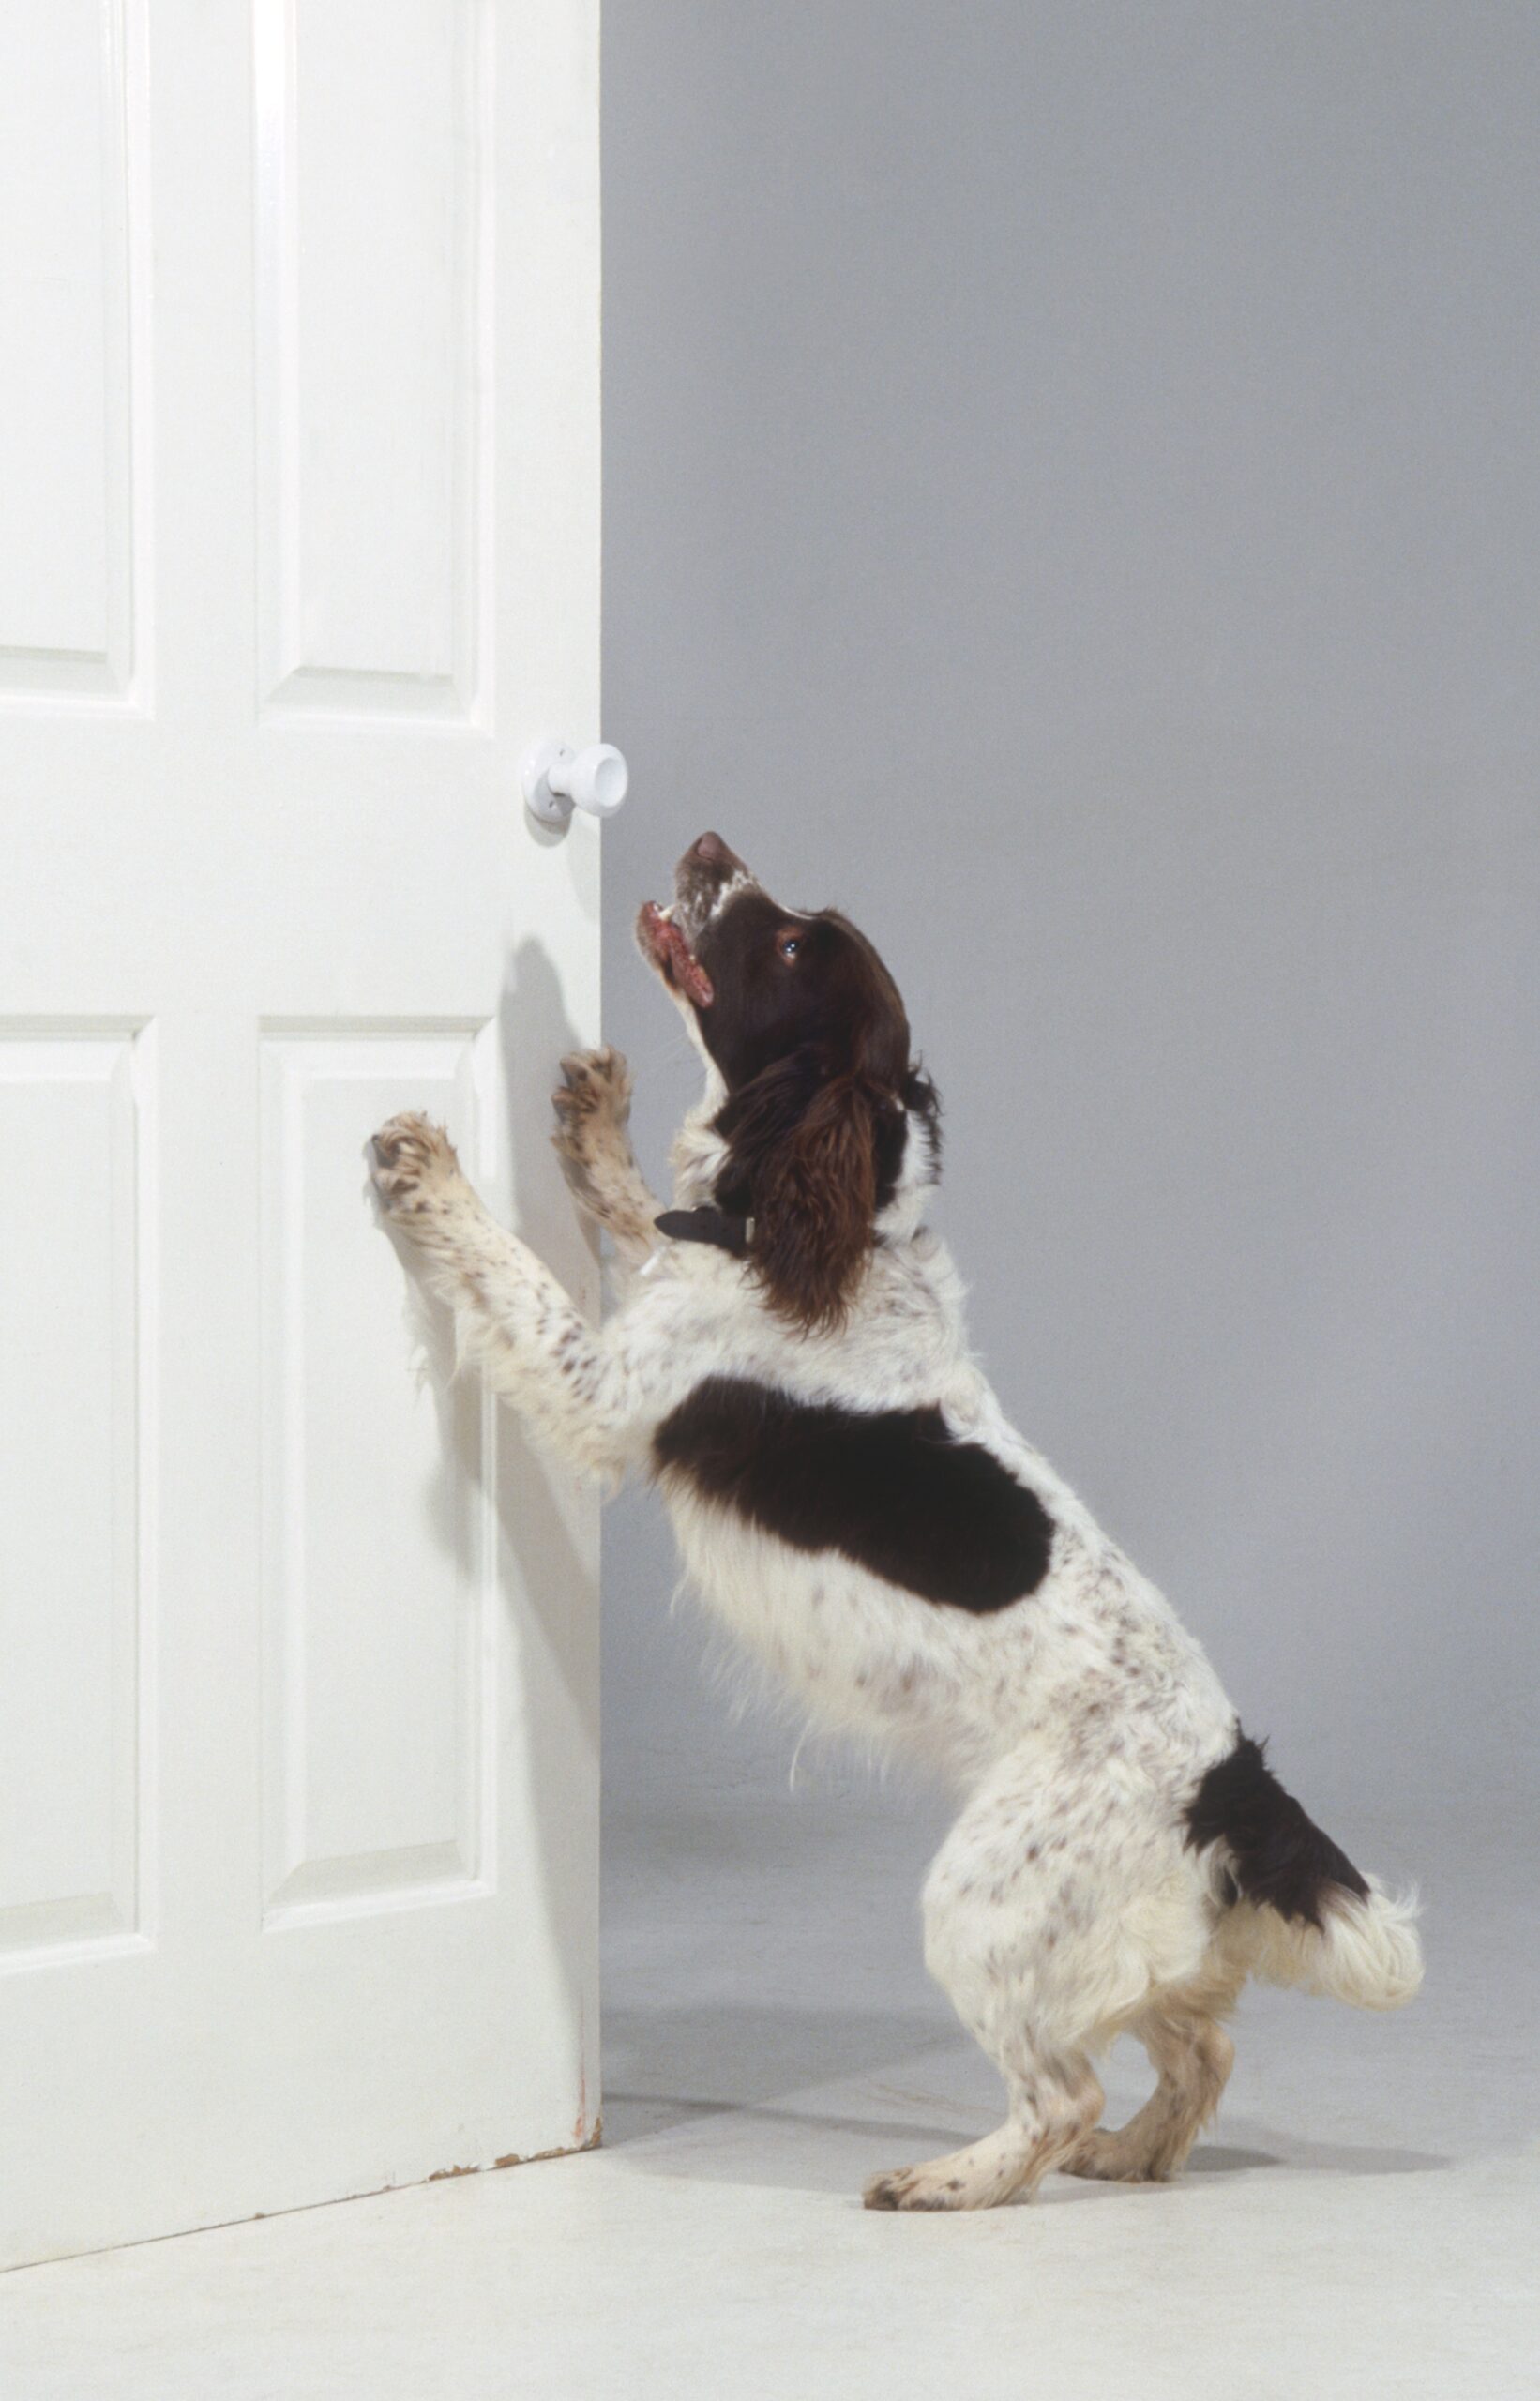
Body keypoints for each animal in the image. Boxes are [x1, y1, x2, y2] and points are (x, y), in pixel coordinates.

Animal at [370, 830, 1422, 2209]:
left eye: (791, 943)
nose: (709, 845)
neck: (839, 1236)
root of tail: (1229, 1780)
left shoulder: (600, 1394)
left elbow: (514, 1273)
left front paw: (428, 1172)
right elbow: (642, 1205)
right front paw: (594, 1121)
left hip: (982, 1898)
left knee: (1062, 2089)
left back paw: (953, 2182)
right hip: (1112, 1929)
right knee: (1202, 2045)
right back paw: (1136, 2155)